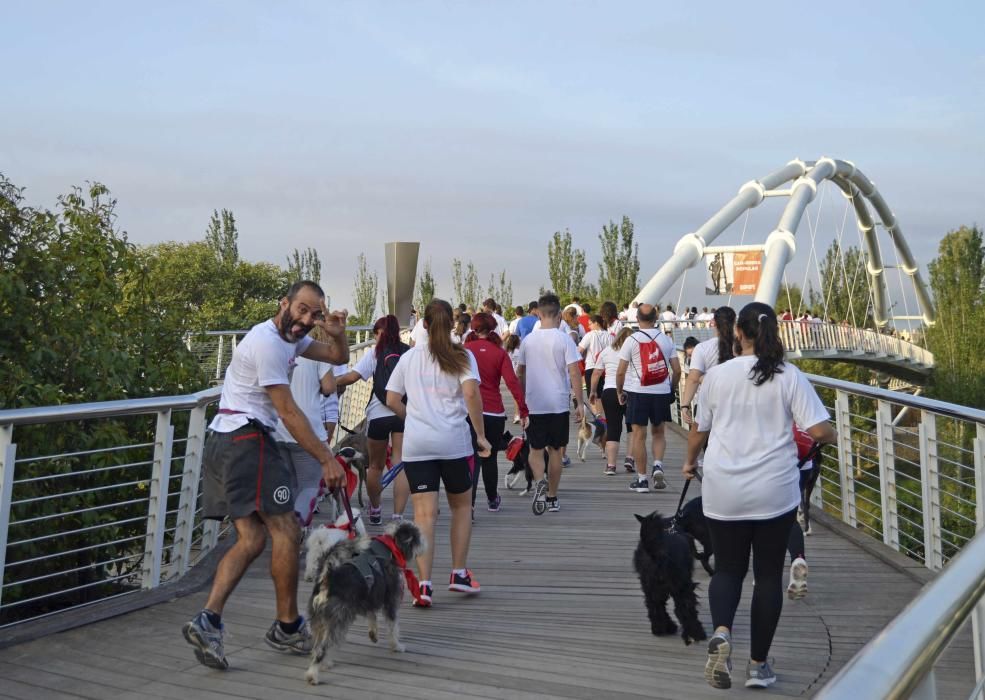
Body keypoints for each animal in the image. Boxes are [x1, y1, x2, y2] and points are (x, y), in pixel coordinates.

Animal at [632, 508, 708, 644]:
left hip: (650, 587)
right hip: (682, 587)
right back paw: (697, 633)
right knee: (684, 609)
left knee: (655, 607)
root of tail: (655, 555)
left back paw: (661, 629)